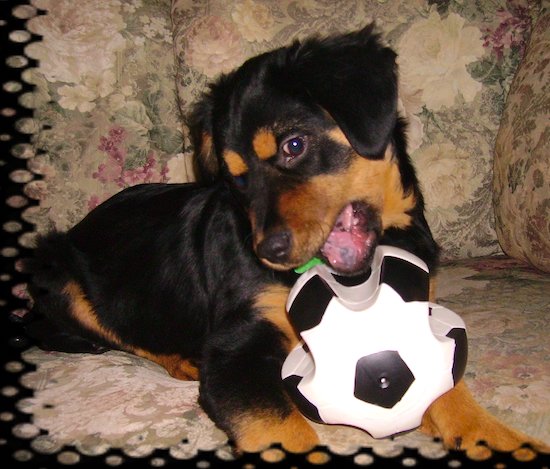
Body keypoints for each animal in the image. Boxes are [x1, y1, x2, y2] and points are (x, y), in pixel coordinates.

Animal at [24, 25, 548, 458]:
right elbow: (282, 428)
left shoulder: (421, 316)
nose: (269, 253)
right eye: (236, 178)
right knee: (127, 335)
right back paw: (182, 360)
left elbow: (446, 384)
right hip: (57, 271)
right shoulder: (236, 348)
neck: (352, 282)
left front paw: (501, 440)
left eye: (293, 145)